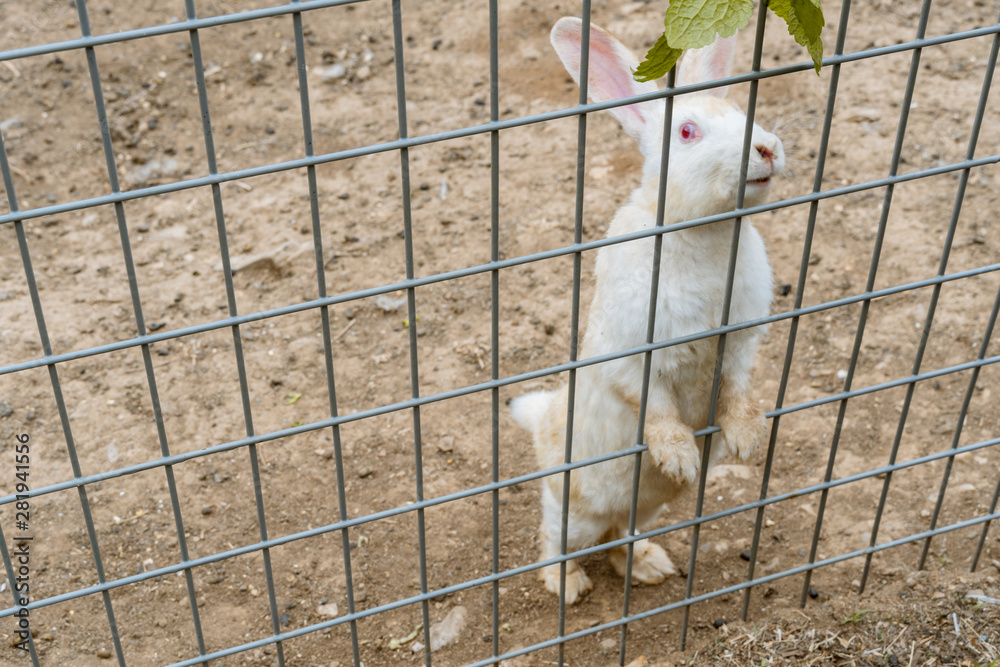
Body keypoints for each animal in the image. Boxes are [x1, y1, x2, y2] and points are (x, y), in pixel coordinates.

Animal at [509, 17, 784, 605]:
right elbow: (656, 409)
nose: (768, 148)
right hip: (572, 511)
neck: (702, 232)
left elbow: (739, 391)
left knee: (621, 536)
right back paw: (568, 585)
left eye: (743, 114)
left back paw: (650, 565)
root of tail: (540, 423)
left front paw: (746, 440)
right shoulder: (634, 354)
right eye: (687, 132)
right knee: (554, 539)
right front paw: (681, 457)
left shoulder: (740, 343)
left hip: (645, 509)